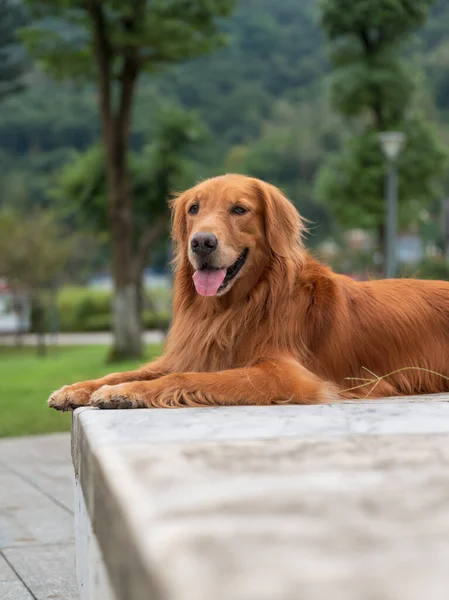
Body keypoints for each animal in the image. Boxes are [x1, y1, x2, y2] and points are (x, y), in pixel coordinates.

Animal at [48, 173, 448, 412]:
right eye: (194, 208)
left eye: (239, 209)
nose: (201, 242)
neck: (237, 306)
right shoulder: (194, 352)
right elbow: (128, 371)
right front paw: (81, 388)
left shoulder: (286, 374)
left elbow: (185, 378)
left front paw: (127, 394)